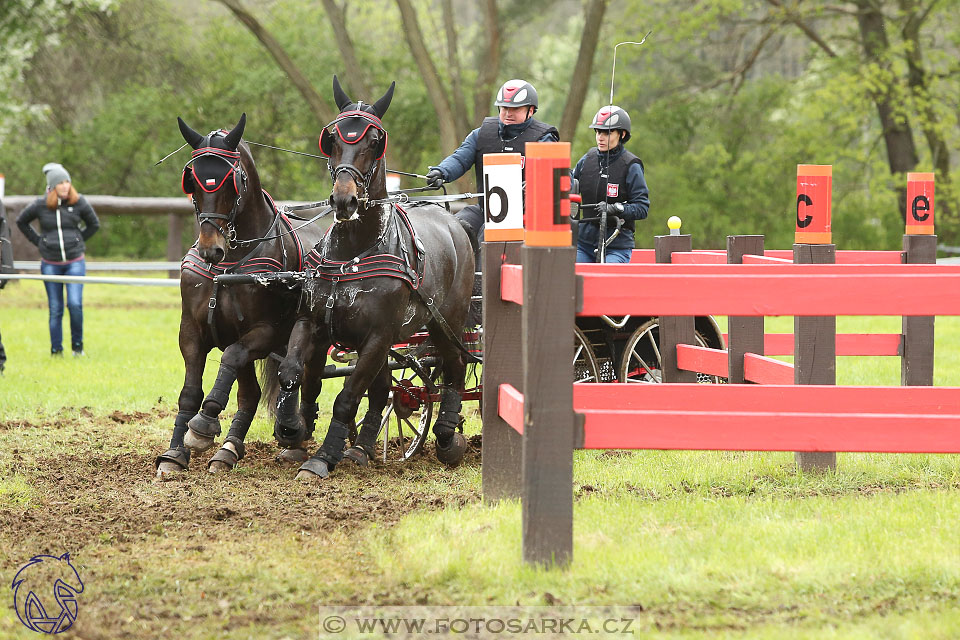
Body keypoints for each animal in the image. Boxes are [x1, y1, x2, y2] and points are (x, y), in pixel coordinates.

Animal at [155, 114, 326, 480]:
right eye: (191, 181)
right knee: (253, 391)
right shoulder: (191, 331)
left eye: (234, 181)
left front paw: (204, 425)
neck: (229, 266)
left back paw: (294, 437)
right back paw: (231, 449)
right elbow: (190, 392)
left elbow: (233, 361)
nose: (211, 248)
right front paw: (175, 453)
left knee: (305, 381)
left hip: (313, 339)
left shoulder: (264, 332)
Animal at [270, 79, 476, 480]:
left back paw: (447, 436)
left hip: (448, 323)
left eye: (374, 140)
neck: (353, 253)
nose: (344, 200)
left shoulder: (378, 336)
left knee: (455, 369)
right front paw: (291, 430)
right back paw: (362, 448)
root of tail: (452, 220)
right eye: (332, 138)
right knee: (385, 389)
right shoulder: (313, 322)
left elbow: (347, 396)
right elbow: (293, 373)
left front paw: (322, 457)